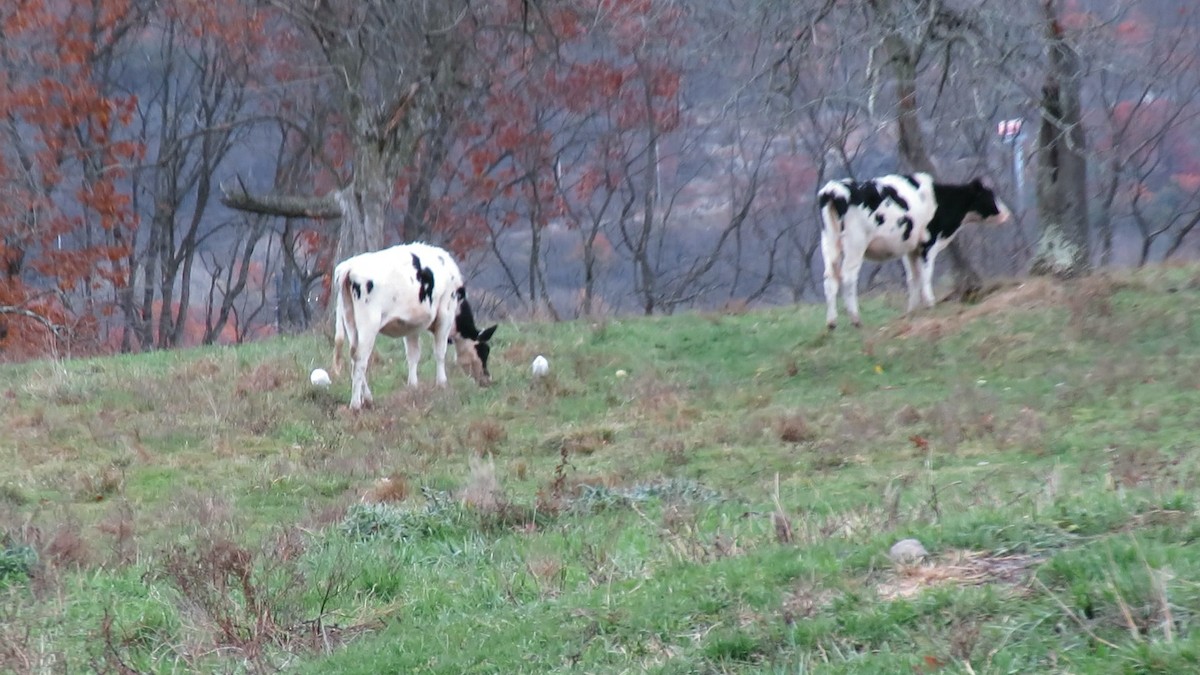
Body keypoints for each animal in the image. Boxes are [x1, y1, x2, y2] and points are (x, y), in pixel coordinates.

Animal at [330, 242, 497, 410]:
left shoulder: (410, 325)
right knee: (360, 359)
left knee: (353, 355)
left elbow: (413, 355)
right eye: (484, 350)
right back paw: (355, 404)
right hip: (369, 324)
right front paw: (442, 384)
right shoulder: (445, 314)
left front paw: (413, 386)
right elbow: (440, 352)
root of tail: (349, 267)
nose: (487, 378)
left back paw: (368, 398)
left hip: (350, 321)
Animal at [816, 172, 1010, 329]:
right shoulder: (928, 243)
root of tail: (834, 189)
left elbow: (913, 278)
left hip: (829, 243)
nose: (1006, 213)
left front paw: (911, 311)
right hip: (855, 244)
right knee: (848, 277)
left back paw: (831, 322)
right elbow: (925, 275)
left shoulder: (910, 248)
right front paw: (930, 304)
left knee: (829, 278)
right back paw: (856, 320)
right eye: (989, 194)